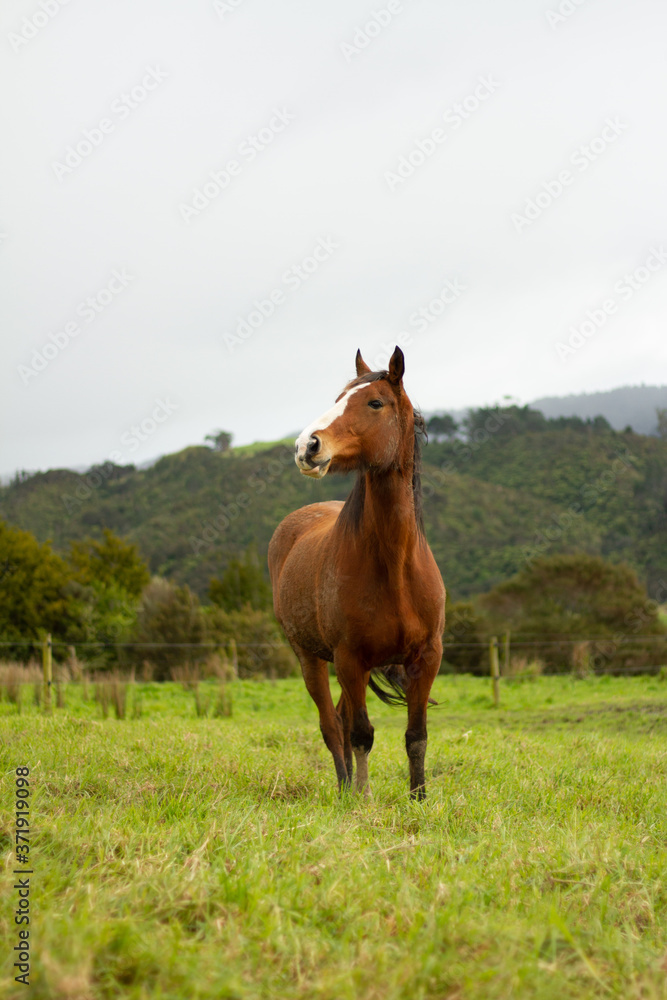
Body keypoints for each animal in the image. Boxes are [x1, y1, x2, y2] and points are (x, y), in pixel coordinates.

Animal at [268, 348, 446, 800]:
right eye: (337, 398)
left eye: (375, 403)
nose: (307, 445)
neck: (395, 566)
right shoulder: (350, 658)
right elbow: (361, 735)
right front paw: (362, 799)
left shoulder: (426, 658)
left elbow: (416, 736)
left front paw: (419, 798)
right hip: (312, 659)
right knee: (333, 725)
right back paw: (345, 786)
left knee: (341, 717)